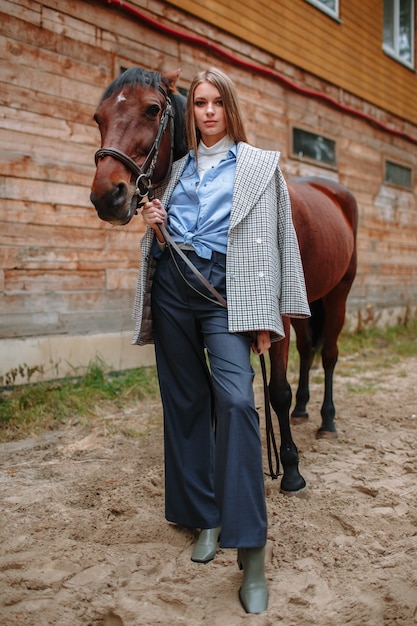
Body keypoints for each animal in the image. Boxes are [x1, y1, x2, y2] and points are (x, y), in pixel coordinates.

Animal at [91, 67, 358, 492]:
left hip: (337, 294)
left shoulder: (277, 314)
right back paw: (303, 411)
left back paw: (327, 421)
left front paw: (290, 468)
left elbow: (276, 390)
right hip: (307, 301)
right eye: (98, 118)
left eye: (152, 110)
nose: (107, 196)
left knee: (328, 354)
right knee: (307, 350)